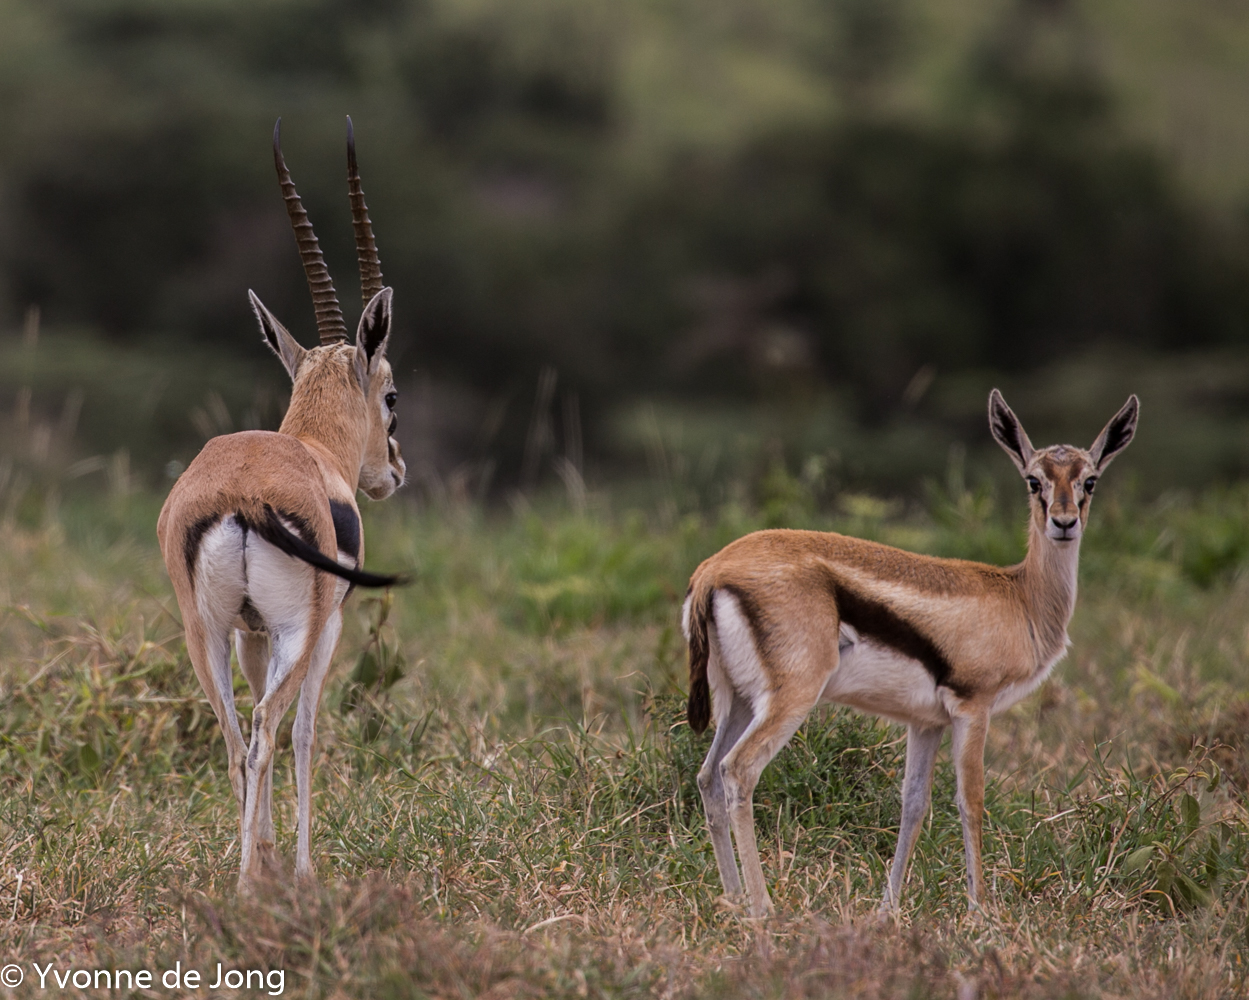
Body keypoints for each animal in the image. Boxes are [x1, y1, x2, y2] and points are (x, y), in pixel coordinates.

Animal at [158, 118, 407, 890]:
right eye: (392, 394)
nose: (394, 470)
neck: (309, 448)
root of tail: (242, 494)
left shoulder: (252, 633)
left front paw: (266, 853)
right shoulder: (323, 630)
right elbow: (305, 730)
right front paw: (298, 869)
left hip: (204, 634)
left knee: (234, 736)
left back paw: (245, 873)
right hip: (298, 630)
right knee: (270, 728)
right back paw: (251, 886)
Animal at [682, 390, 1138, 917]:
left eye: (1089, 480)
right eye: (1033, 480)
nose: (1064, 523)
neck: (1019, 596)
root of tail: (713, 569)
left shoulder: (926, 722)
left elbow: (914, 802)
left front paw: (889, 908)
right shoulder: (973, 707)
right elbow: (970, 800)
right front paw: (980, 910)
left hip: (737, 700)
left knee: (708, 776)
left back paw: (733, 900)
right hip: (790, 698)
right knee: (739, 771)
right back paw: (763, 909)